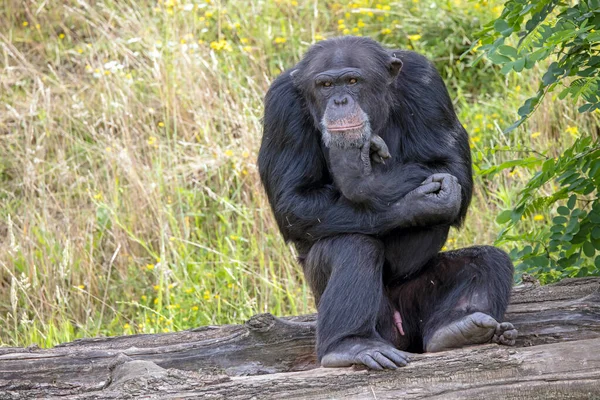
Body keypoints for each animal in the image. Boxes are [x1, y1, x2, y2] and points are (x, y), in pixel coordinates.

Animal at [256, 36, 516, 370]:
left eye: (353, 81)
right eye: (325, 85)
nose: (340, 101)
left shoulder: (425, 80)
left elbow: (451, 166)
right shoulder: (281, 106)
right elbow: (294, 201)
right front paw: (361, 175)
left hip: (417, 297)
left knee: (488, 260)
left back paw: (458, 327)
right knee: (353, 247)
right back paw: (349, 344)